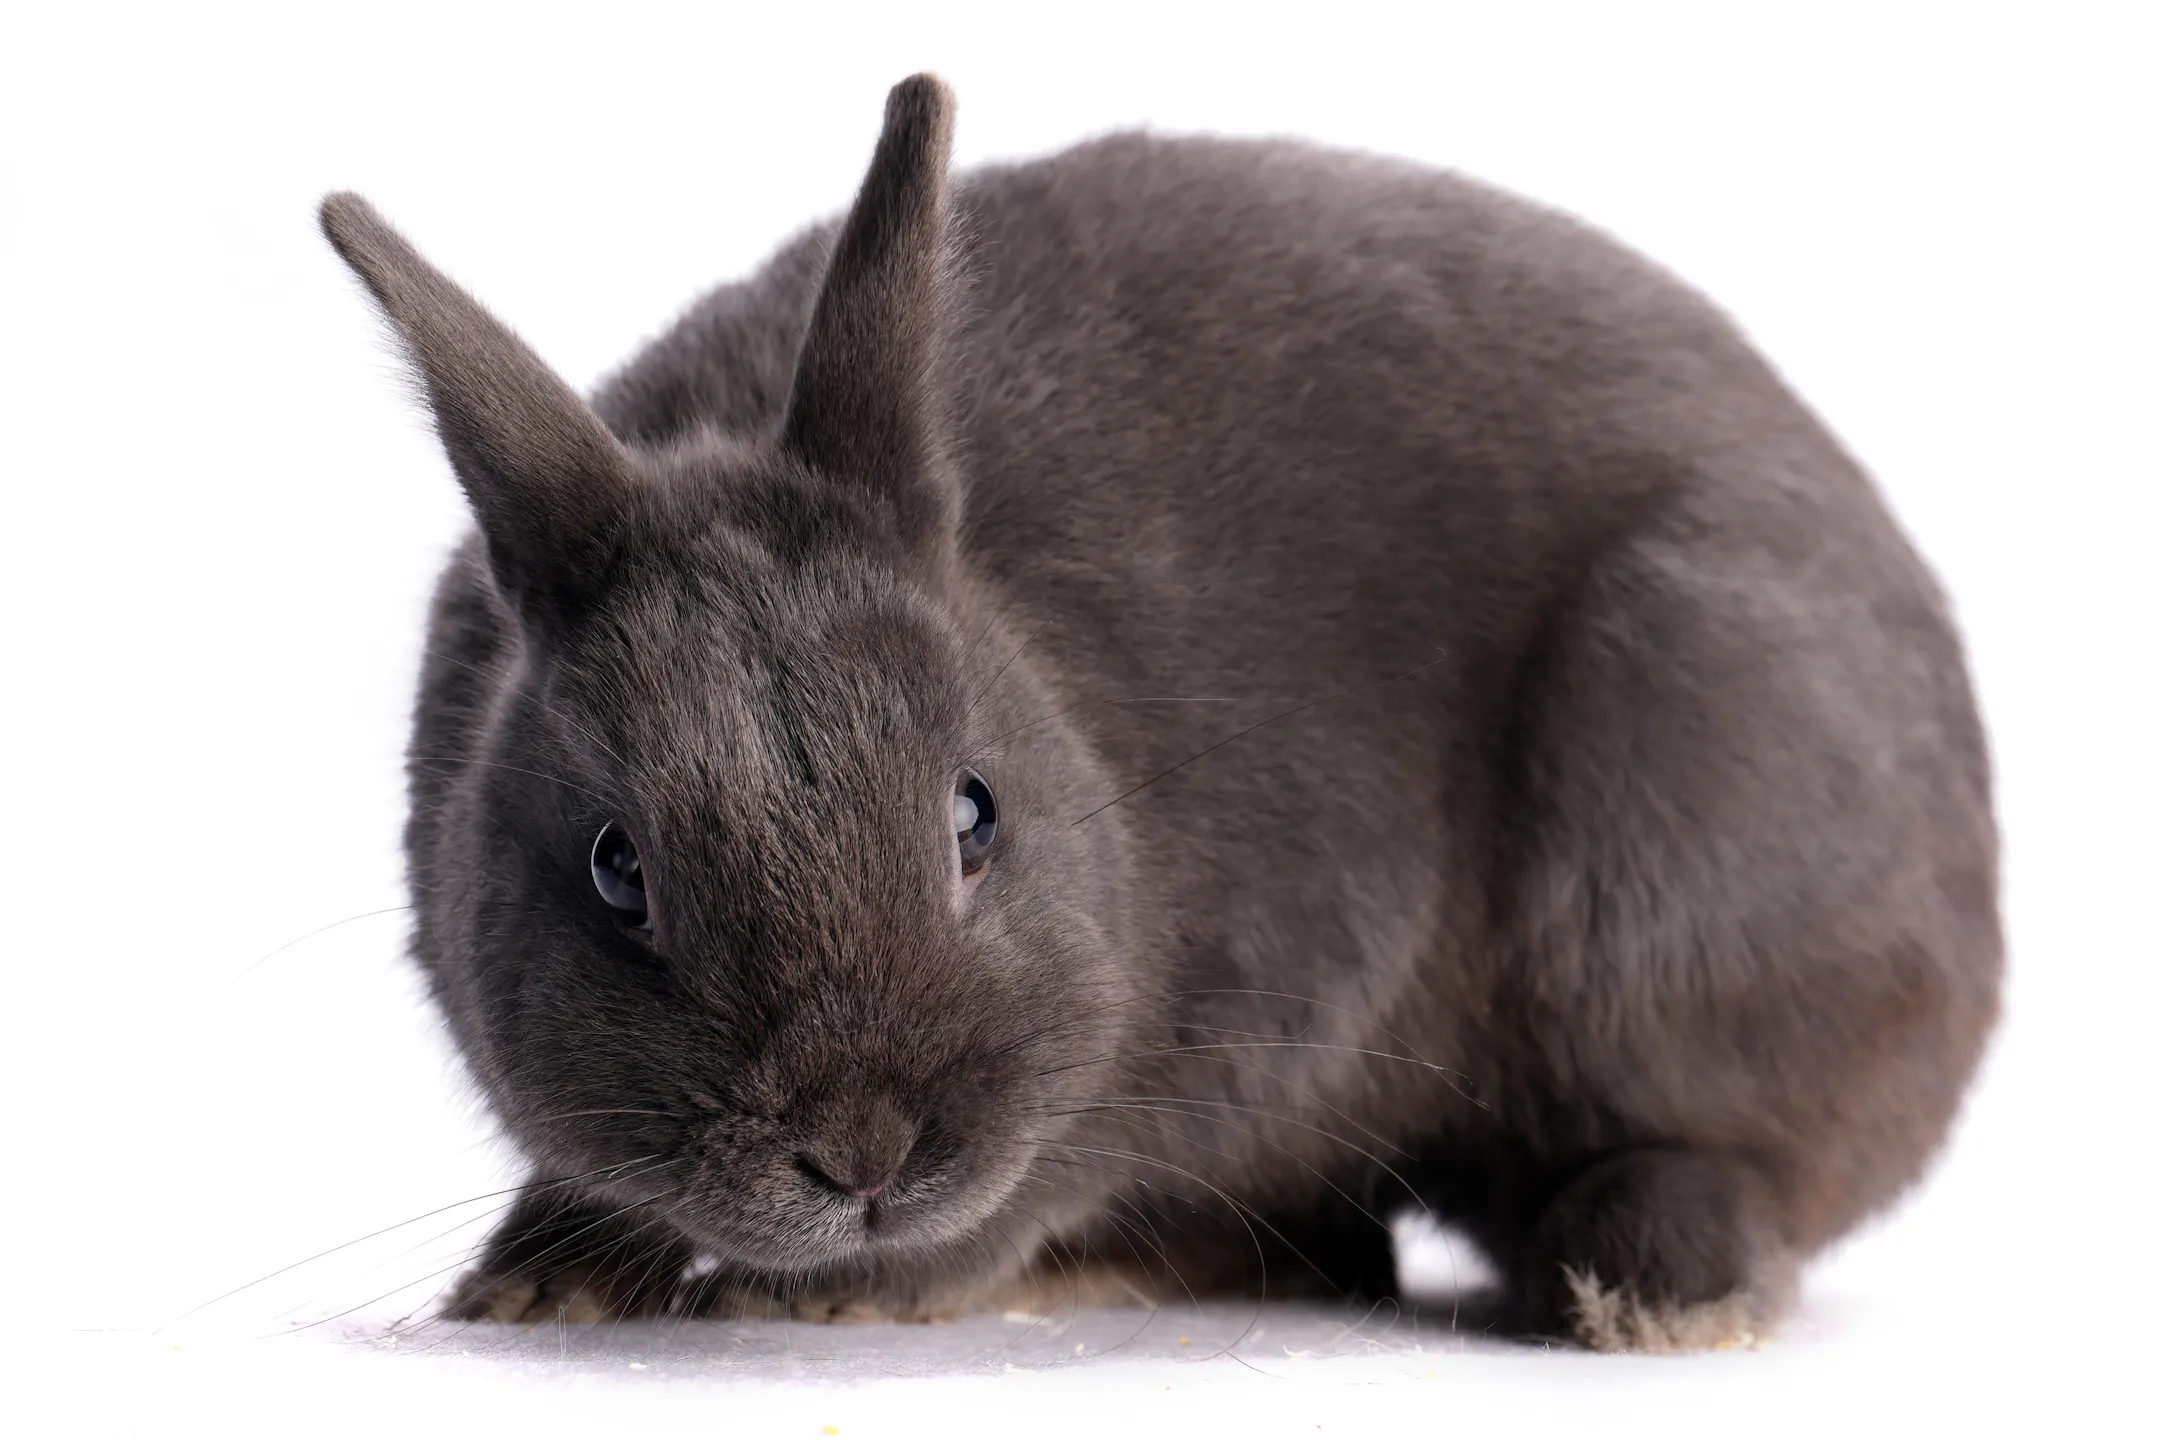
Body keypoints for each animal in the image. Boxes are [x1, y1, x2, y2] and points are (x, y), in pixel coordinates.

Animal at [318, 73, 2000, 1353]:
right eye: (619, 871)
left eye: (974, 814)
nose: (864, 1154)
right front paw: (532, 1288)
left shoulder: (1238, 1005)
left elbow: (1022, 1197)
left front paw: (815, 1300)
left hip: (1684, 787)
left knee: (1731, 1160)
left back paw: (1640, 1294)